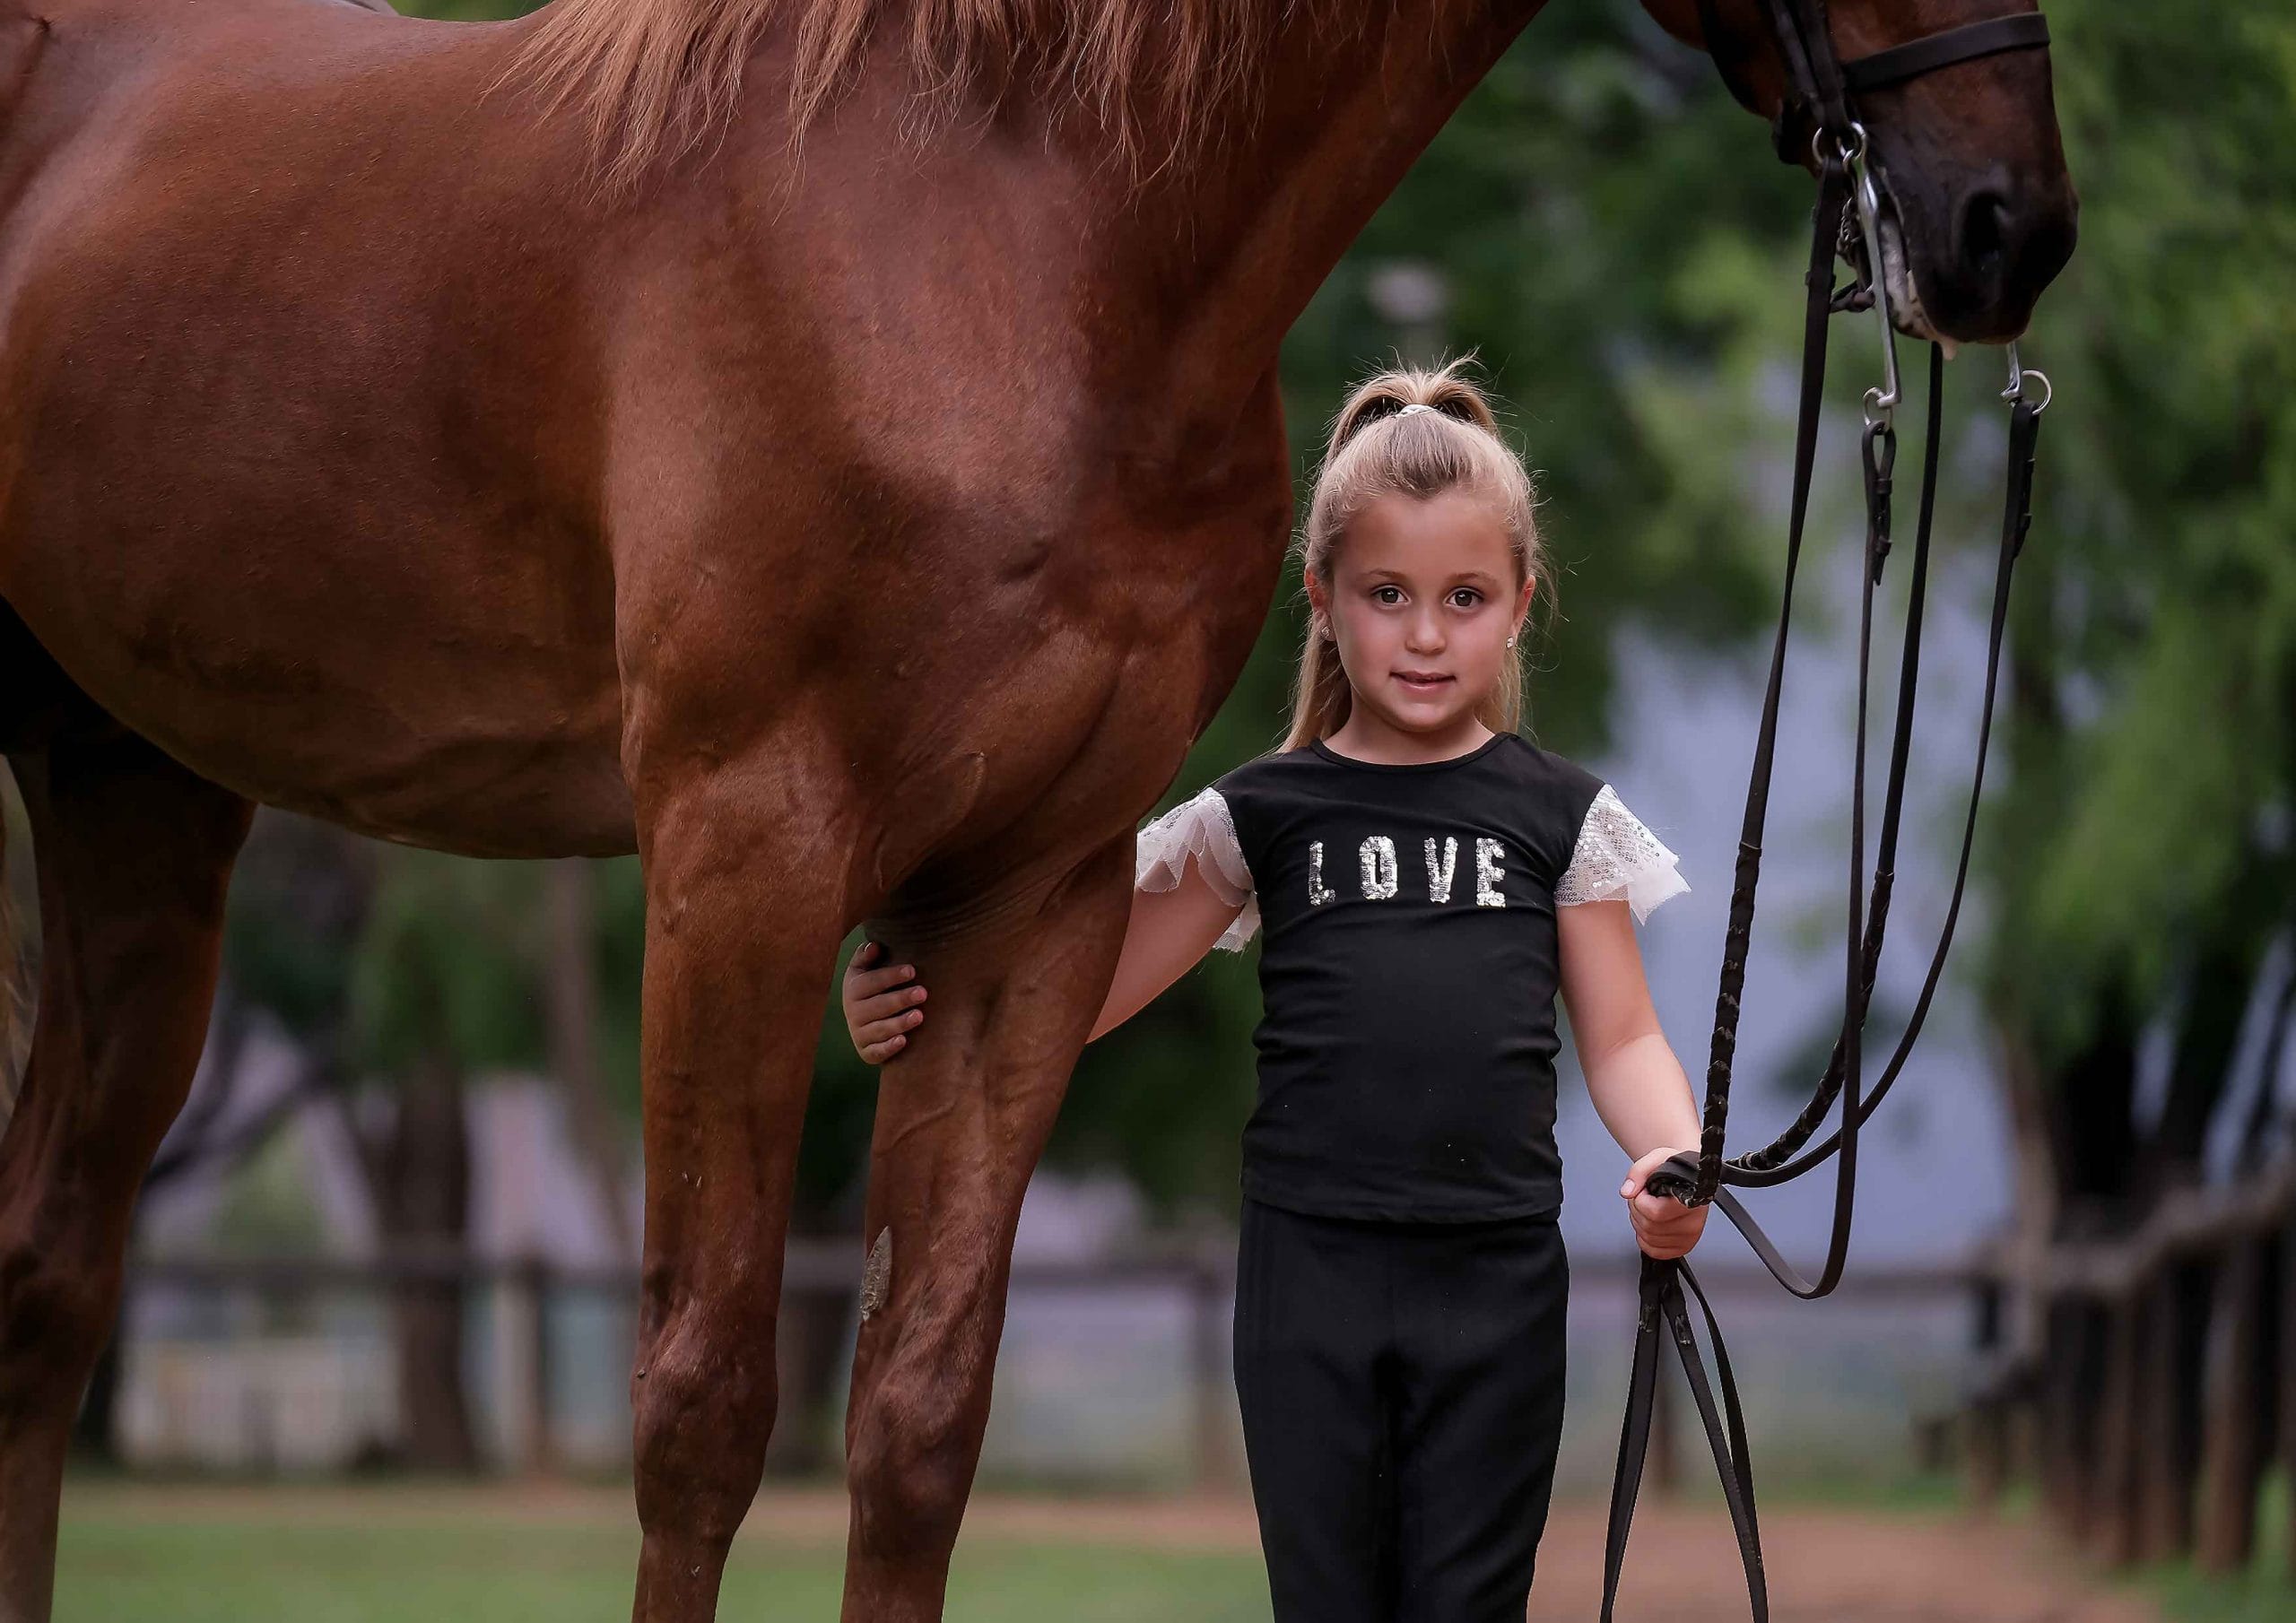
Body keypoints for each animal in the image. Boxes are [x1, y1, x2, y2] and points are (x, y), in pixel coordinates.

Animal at [0, 0, 2073, 1617]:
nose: (2012, 225)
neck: (1005, 215)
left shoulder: (1037, 887)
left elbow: (918, 1415)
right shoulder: (740, 854)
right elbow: (699, 1407)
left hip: (135, 797)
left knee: (50, 1277)